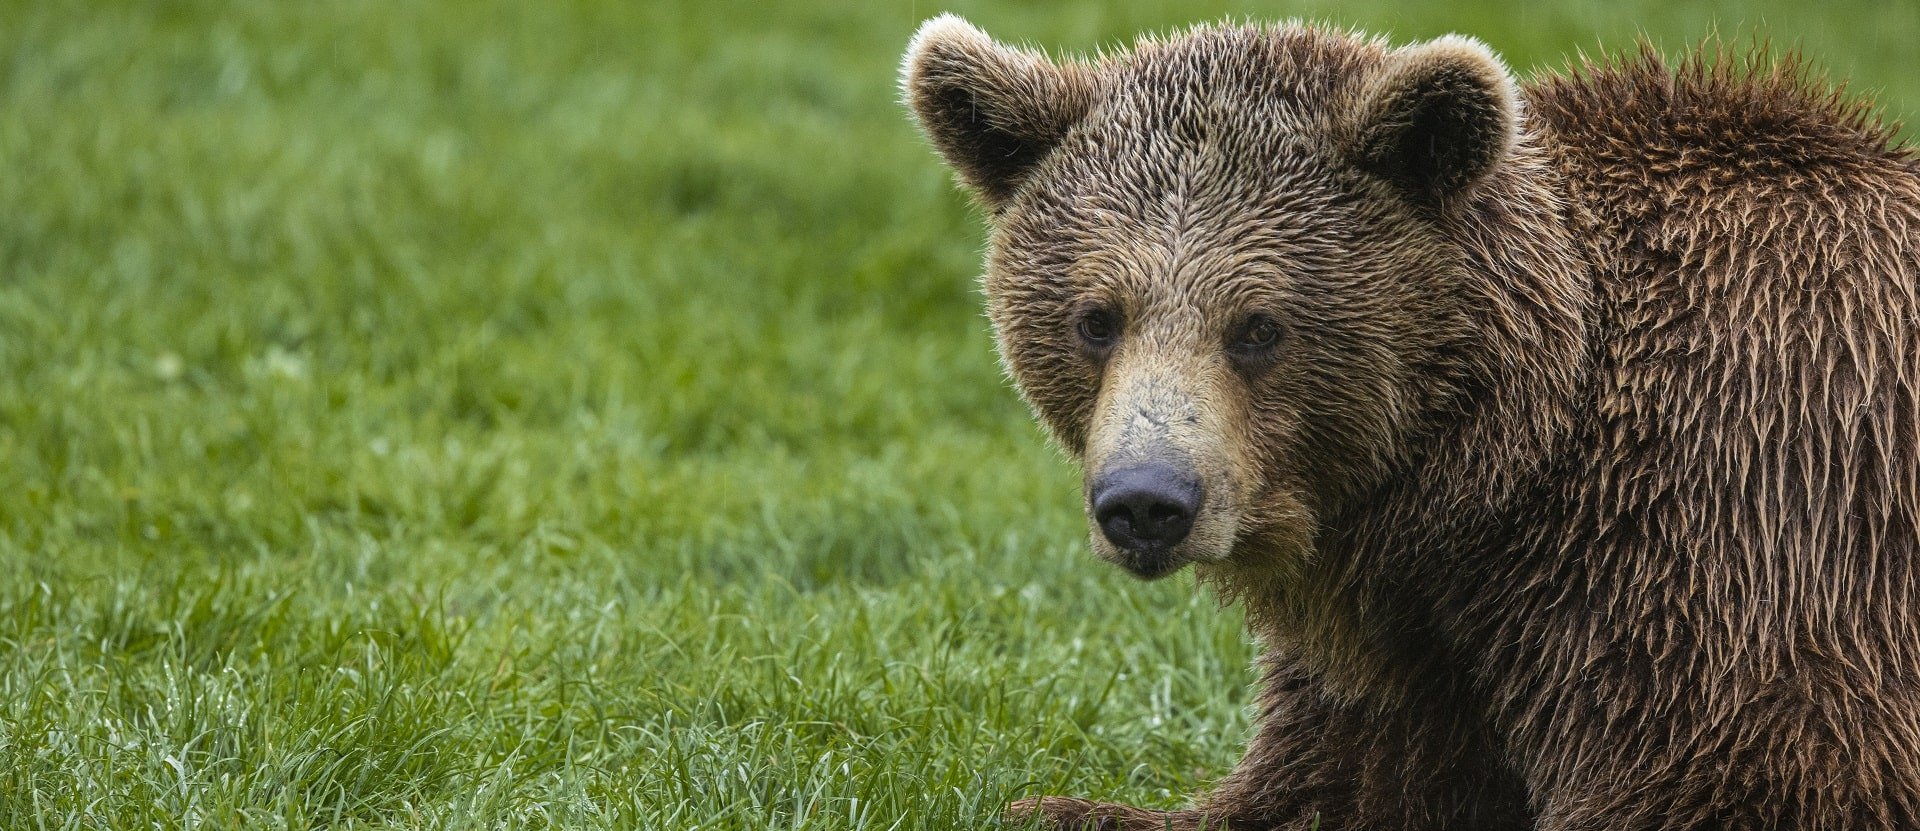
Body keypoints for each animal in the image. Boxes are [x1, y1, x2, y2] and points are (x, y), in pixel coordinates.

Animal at [906, 12, 1920, 829]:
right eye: (1097, 317)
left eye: (1258, 325)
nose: (1148, 502)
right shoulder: (1413, 646)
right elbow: (1333, 777)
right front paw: (1058, 804)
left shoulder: (1739, 512)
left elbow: (1735, 778)